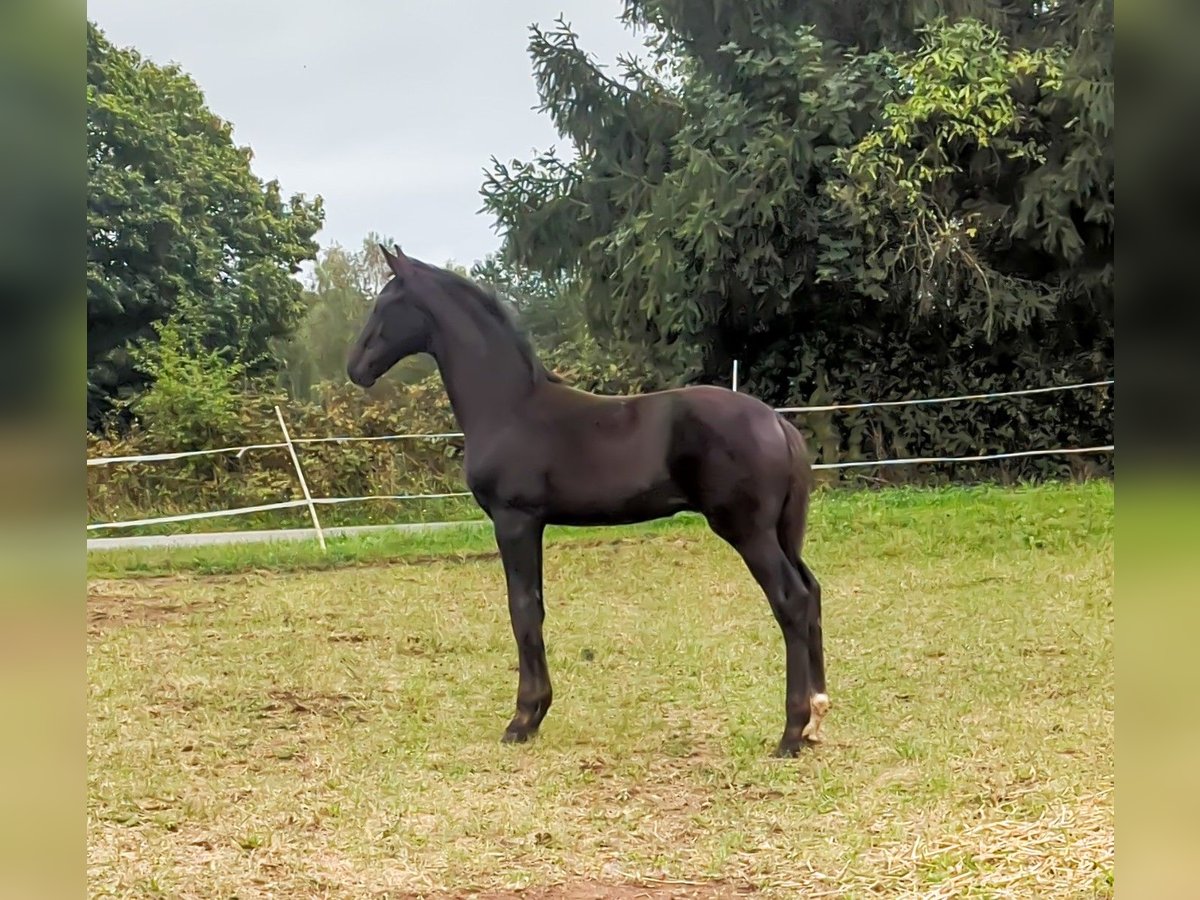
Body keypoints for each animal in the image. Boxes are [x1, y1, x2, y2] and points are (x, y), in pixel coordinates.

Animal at [350, 243, 830, 758]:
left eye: (384, 304)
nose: (354, 367)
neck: (508, 407)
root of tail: (776, 422)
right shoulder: (530, 523)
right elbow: (534, 607)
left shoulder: (514, 520)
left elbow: (523, 610)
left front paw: (523, 719)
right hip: (783, 533)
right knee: (813, 592)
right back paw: (816, 719)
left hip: (747, 531)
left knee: (791, 600)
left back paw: (790, 732)